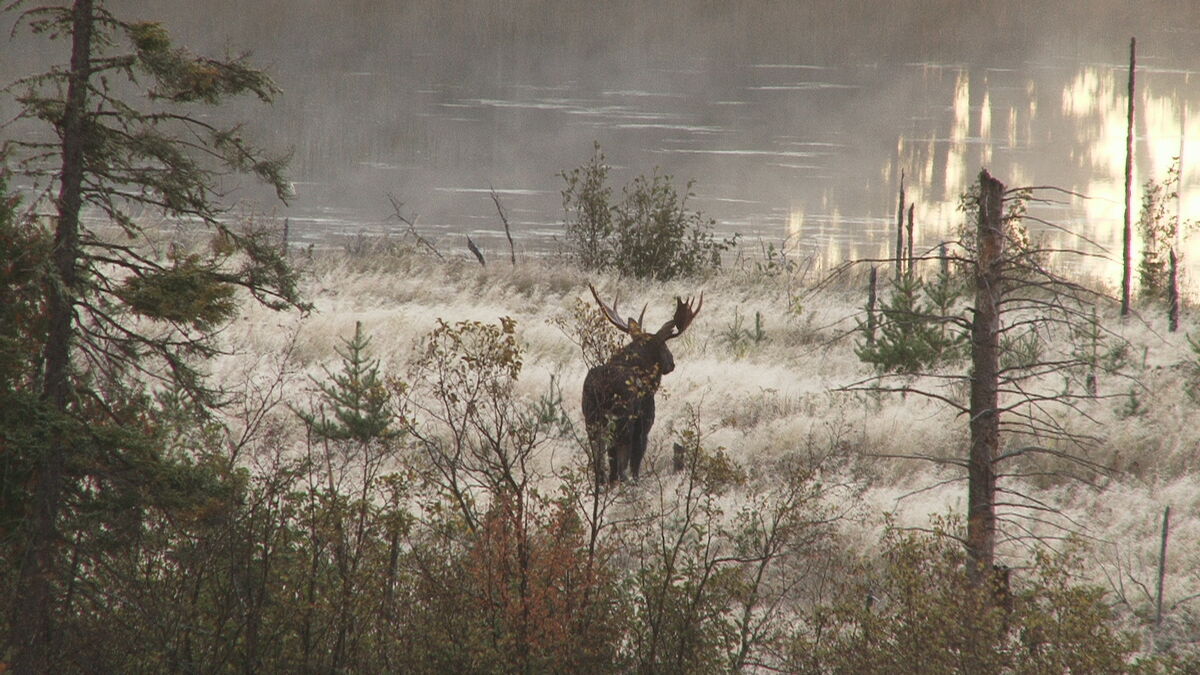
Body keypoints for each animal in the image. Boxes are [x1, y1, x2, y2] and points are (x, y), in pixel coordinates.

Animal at [583, 282, 700, 482]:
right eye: (664, 346)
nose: (672, 363)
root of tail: (602, 388)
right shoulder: (644, 423)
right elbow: (635, 463)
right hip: (621, 420)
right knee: (616, 463)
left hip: (590, 418)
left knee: (599, 459)